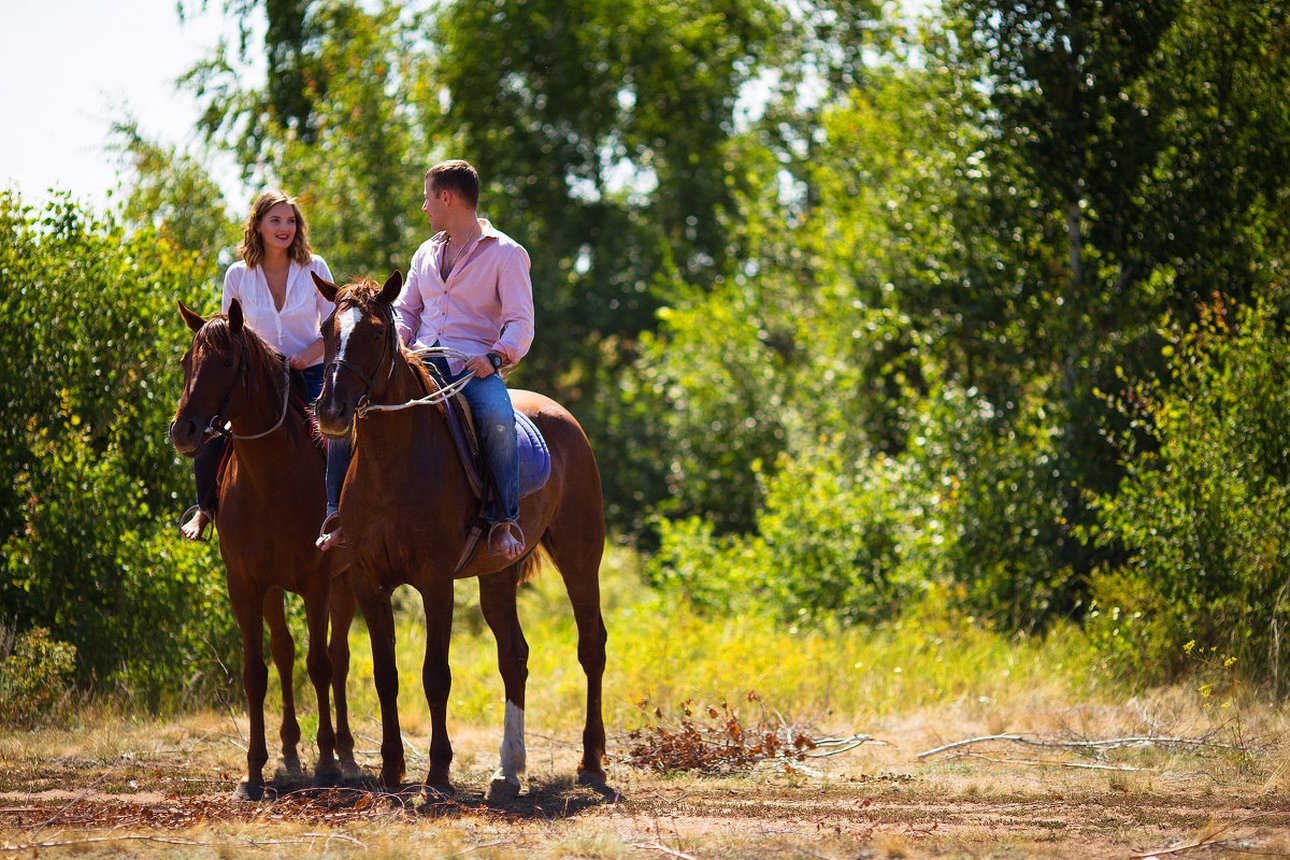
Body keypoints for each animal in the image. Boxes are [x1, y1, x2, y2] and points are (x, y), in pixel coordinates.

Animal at [168, 301, 358, 799]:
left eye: (226, 363)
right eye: (186, 362)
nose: (182, 431)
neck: (272, 475)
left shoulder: (316, 582)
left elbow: (320, 665)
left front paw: (327, 763)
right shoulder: (245, 584)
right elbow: (257, 670)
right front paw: (253, 770)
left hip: (347, 582)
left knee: (339, 658)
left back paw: (347, 755)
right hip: (274, 590)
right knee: (284, 651)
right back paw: (290, 751)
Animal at [314, 270, 611, 799]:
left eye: (376, 333)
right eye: (327, 329)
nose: (331, 411)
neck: (392, 461)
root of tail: (563, 416)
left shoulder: (435, 581)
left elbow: (435, 675)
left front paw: (437, 775)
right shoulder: (369, 581)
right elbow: (386, 674)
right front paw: (392, 771)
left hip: (580, 559)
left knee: (590, 646)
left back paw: (591, 762)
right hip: (498, 576)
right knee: (514, 656)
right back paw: (508, 771)